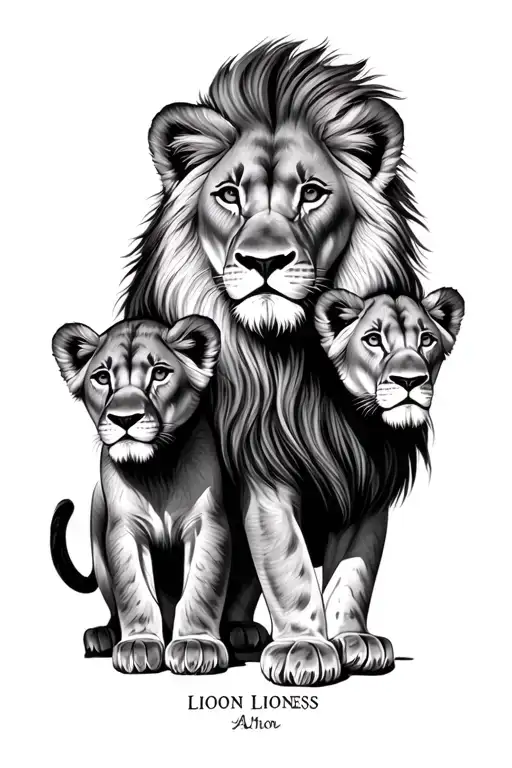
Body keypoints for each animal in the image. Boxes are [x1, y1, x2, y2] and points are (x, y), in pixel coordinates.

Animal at [51, 316, 231, 675]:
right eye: (102, 377)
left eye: (159, 373)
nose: (125, 419)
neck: (155, 472)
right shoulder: (124, 530)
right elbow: (134, 589)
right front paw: (139, 645)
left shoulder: (208, 523)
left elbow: (201, 585)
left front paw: (196, 645)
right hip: (97, 520)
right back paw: (103, 635)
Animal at [121, 41, 429, 685]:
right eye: (229, 195)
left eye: (311, 193)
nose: (265, 262)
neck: (296, 361)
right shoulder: (262, 469)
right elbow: (287, 562)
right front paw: (304, 649)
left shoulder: (369, 470)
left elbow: (357, 569)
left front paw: (353, 639)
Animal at [313, 287, 464, 672]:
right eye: (372, 339)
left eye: (426, 339)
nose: (409, 381)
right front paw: (306, 649)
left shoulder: (366, 504)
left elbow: (352, 576)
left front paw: (355, 640)